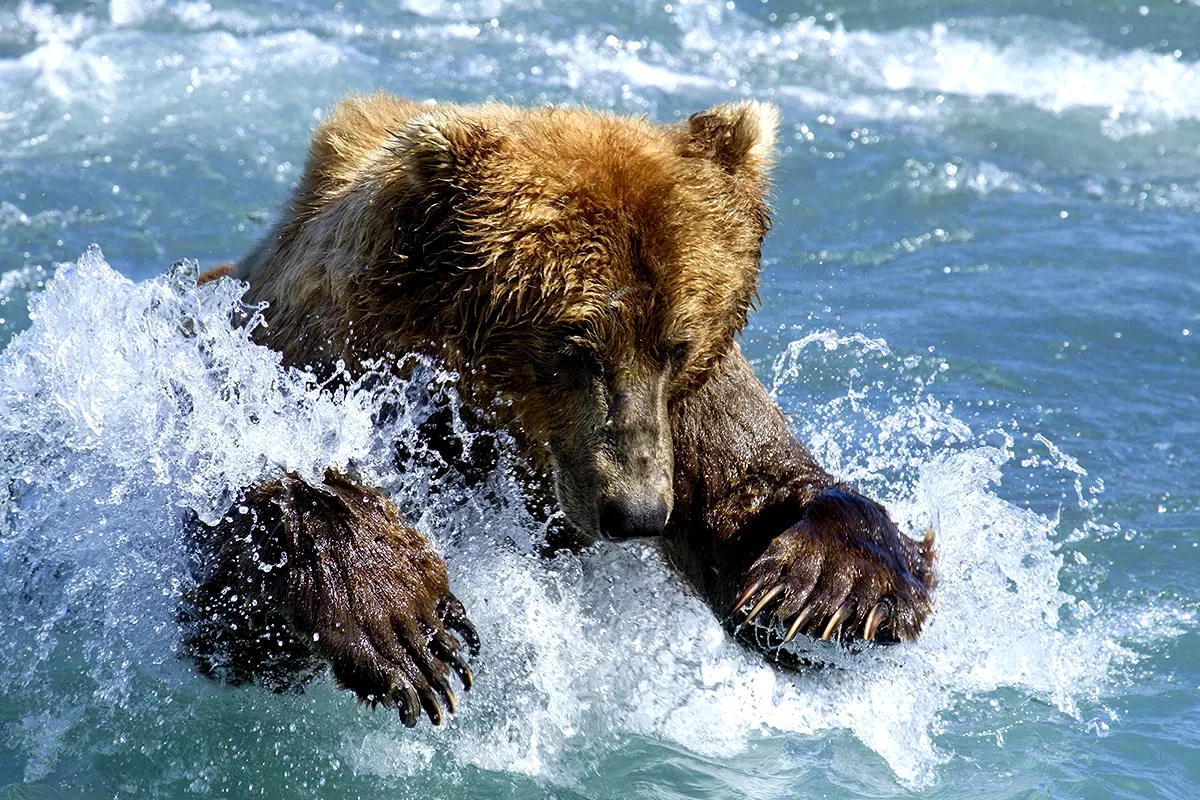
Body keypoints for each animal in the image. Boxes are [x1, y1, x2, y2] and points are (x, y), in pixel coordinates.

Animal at [188, 93, 935, 728]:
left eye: (676, 343)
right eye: (574, 346)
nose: (637, 512)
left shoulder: (687, 411)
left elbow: (756, 492)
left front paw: (825, 588)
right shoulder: (319, 360)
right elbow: (234, 581)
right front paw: (403, 621)